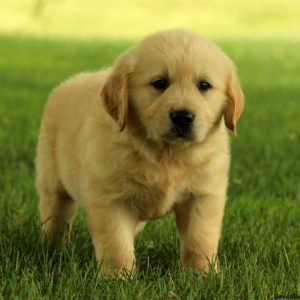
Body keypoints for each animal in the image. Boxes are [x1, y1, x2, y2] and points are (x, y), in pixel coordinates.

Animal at [36, 29, 245, 276]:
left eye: (204, 85)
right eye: (160, 83)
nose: (183, 117)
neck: (167, 155)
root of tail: (68, 82)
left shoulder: (202, 194)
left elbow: (199, 239)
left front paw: (202, 274)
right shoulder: (110, 198)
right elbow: (116, 243)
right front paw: (118, 277)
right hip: (52, 180)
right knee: (56, 214)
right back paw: (53, 247)